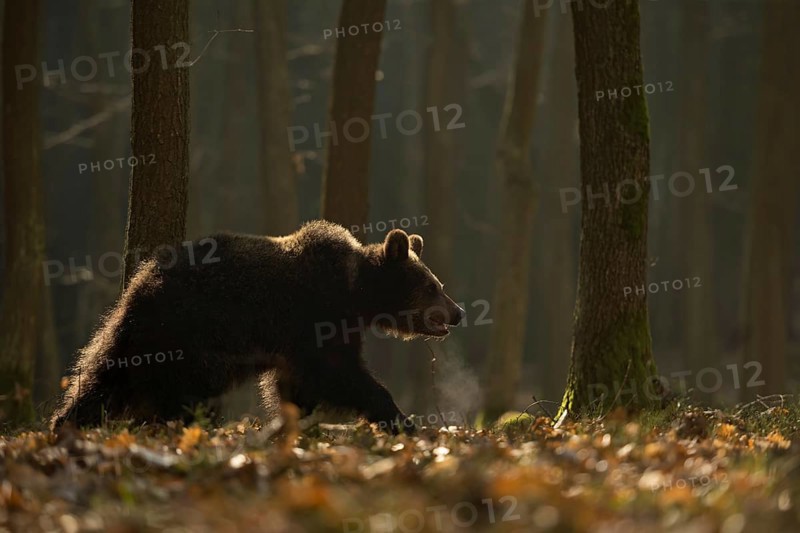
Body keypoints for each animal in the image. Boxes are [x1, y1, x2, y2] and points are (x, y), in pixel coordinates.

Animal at [50, 221, 465, 434]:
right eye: (432, 286)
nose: (458, 311)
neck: (355, 293)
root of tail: (142, 279)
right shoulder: (317, 318)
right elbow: (342, 374)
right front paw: (400, 419)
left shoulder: (299, 342)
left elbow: (296, 384)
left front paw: (296, 418)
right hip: (192, 330)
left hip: (145, 332)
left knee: (105, 373)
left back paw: (69, 421)